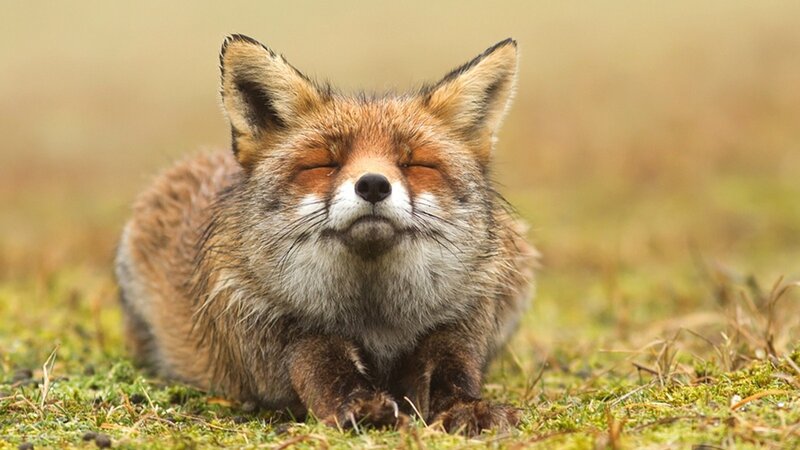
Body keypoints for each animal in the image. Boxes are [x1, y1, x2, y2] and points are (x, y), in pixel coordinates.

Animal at [115, 34, 536, 435]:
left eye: (415, 163)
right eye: (325, 163)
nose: (373, 185)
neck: (375, 318)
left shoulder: (457, 325)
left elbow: (452, 376)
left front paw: (467, 408)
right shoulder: (279, 331)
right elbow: (325, 368)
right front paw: (362, 407)